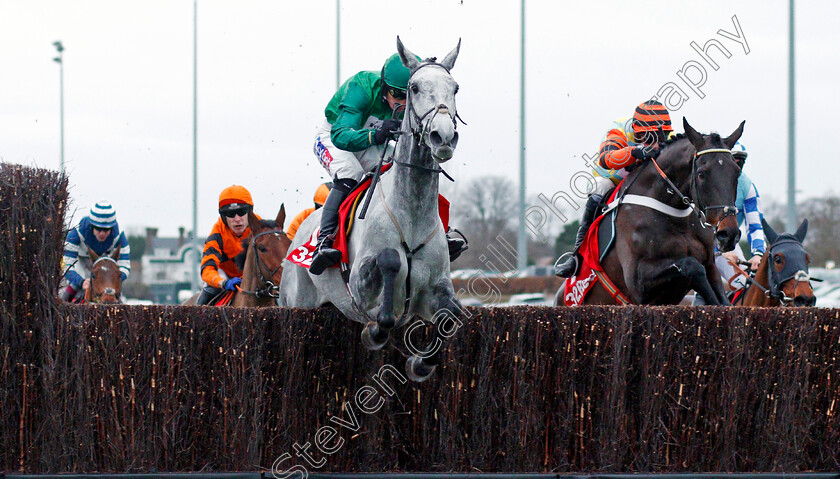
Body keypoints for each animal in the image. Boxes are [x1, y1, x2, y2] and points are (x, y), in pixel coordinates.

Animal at [278, 36, 462, 382]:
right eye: (415, 87)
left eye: (455, 87)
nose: (443, 136)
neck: (411, 214)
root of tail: (298, 233)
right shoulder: (361, 288)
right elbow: (387, 277)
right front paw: (374, 333)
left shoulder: (437, 289)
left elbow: (452, 317)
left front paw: (420, 364)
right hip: (297, 301)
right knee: (346, 178)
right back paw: (322, 249)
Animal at [556, 120, 740, 308]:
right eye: (701, 173)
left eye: (737, 172)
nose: (729, 234)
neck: (674, 215)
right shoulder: (638, 283)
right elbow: (691, 265)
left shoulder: (710, 265)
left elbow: (720, 294)